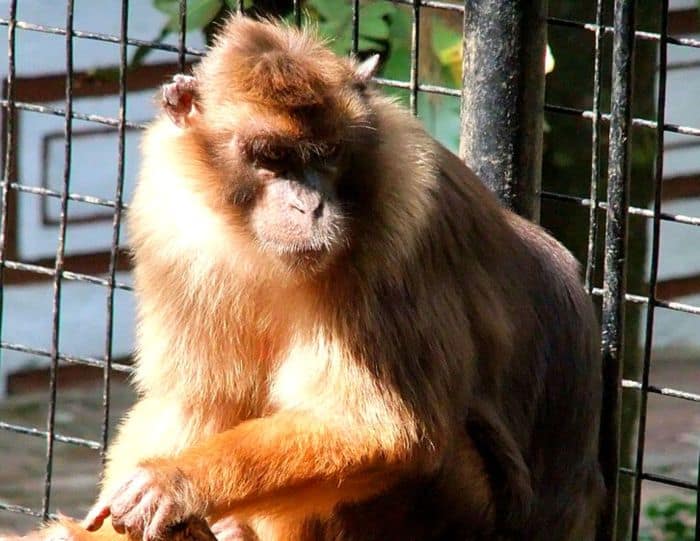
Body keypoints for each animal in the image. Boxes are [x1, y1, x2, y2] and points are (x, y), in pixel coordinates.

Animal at [6, 14, 608, 536]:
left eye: (328, 154)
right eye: (271, 157)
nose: (310, 207)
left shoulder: (399, 223)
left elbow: (389, 432)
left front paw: (173, 483)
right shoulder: (170, 216)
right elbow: (197, 400)